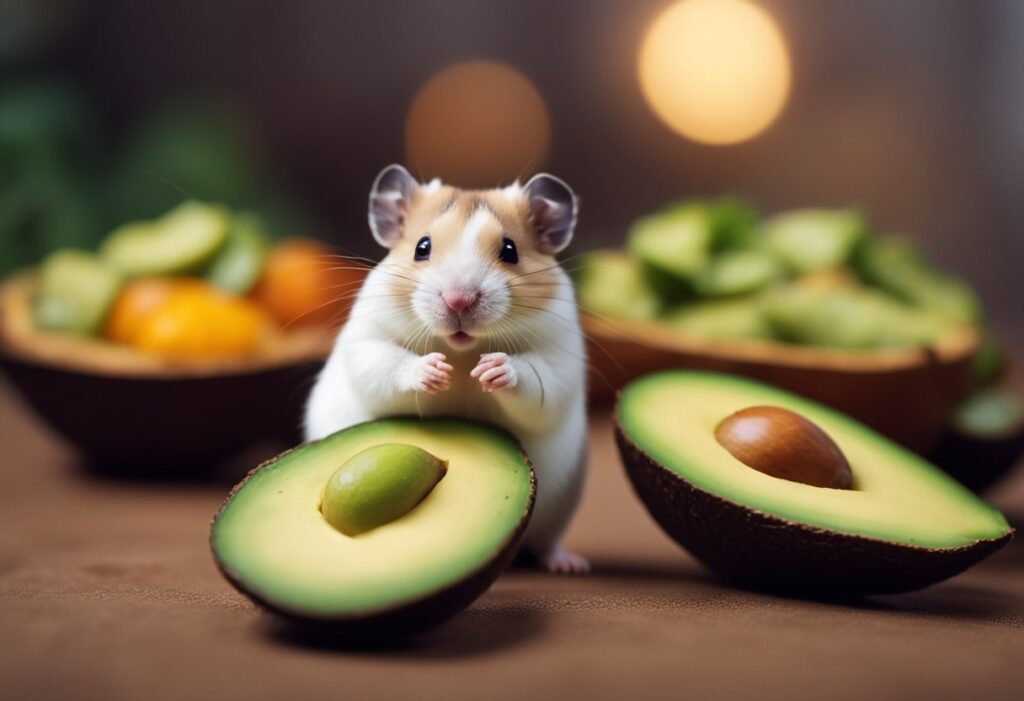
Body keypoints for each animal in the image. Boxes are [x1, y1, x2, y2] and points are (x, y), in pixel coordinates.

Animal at [304, 164, 589, 574]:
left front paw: (491, 370)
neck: (462, 348)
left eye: (510, 250)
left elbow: (536, 381)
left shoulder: (559, 356)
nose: (459, 300)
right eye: (422, 248)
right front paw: (436, 372)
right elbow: (388, 364)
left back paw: (568, 564)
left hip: (562, 506)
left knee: (548, 542)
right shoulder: (367, 342)